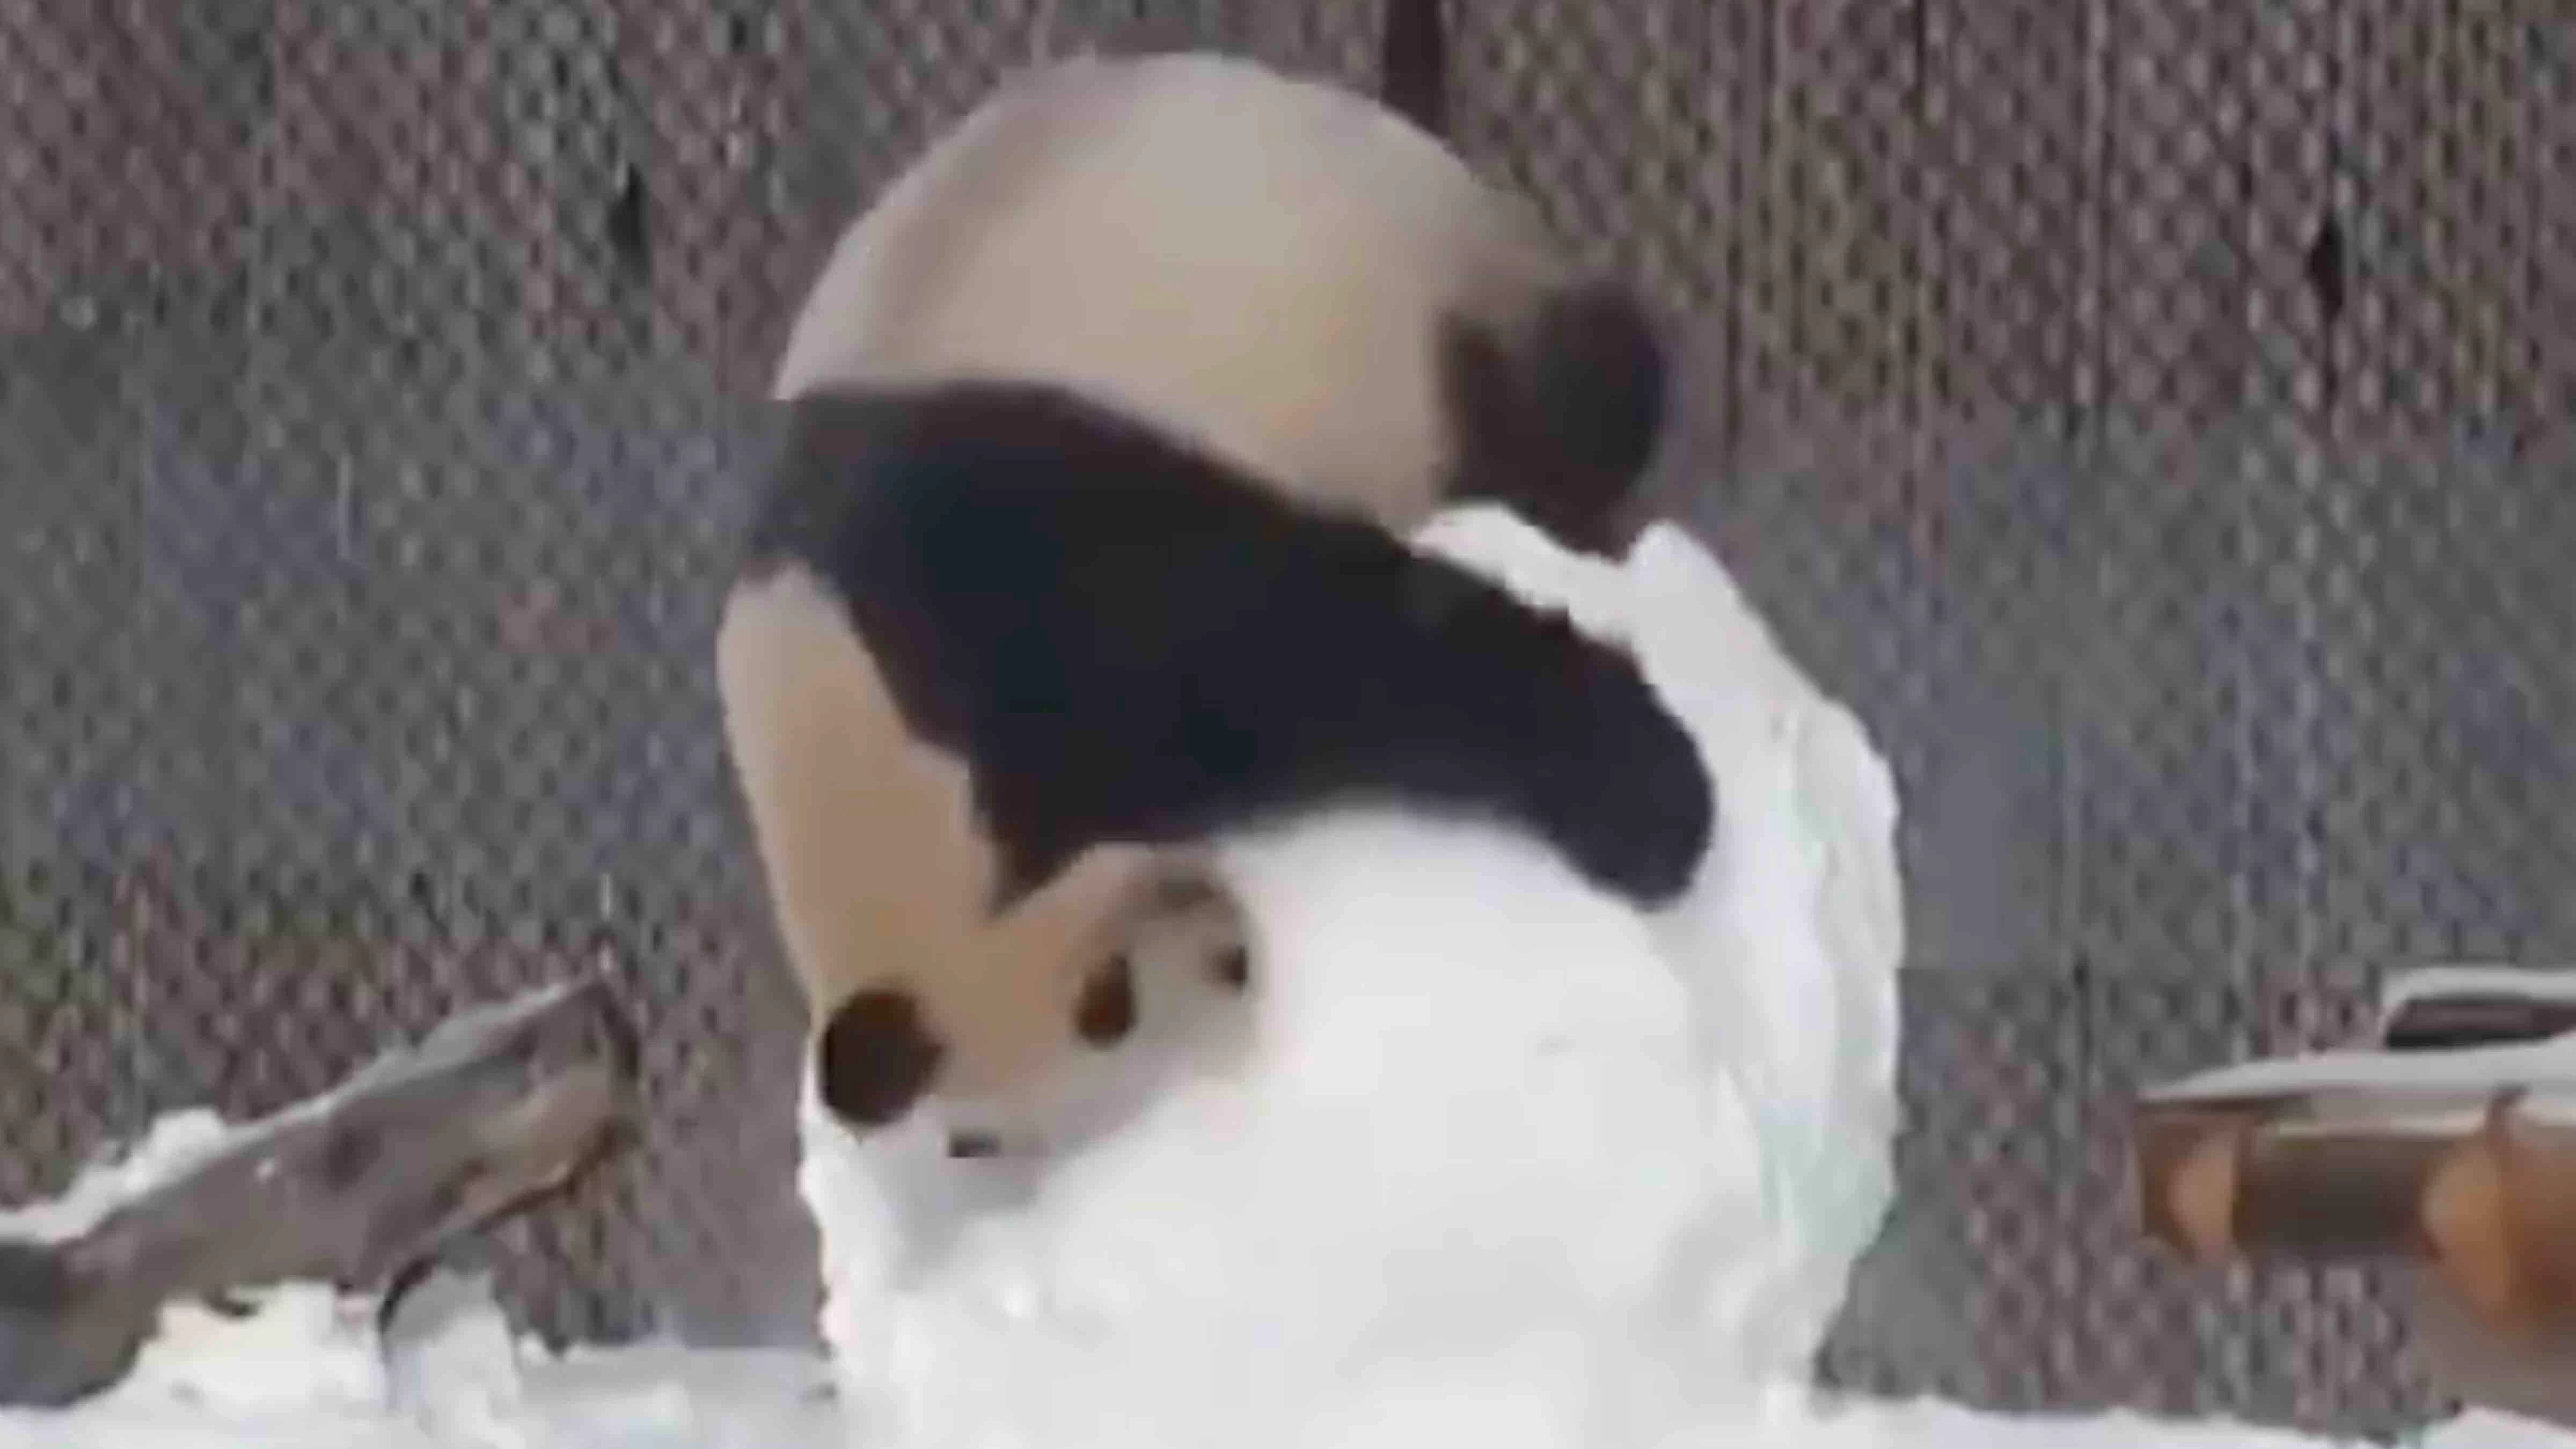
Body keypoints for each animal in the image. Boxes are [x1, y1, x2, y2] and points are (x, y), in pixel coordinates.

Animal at [716, 51, 1714, 1158]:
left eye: (1109, 1003)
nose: (1240, 960)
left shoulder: (1002, 580)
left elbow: (1306, 652)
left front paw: (1651, 798)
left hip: (1429, 286)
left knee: (1583, 395)